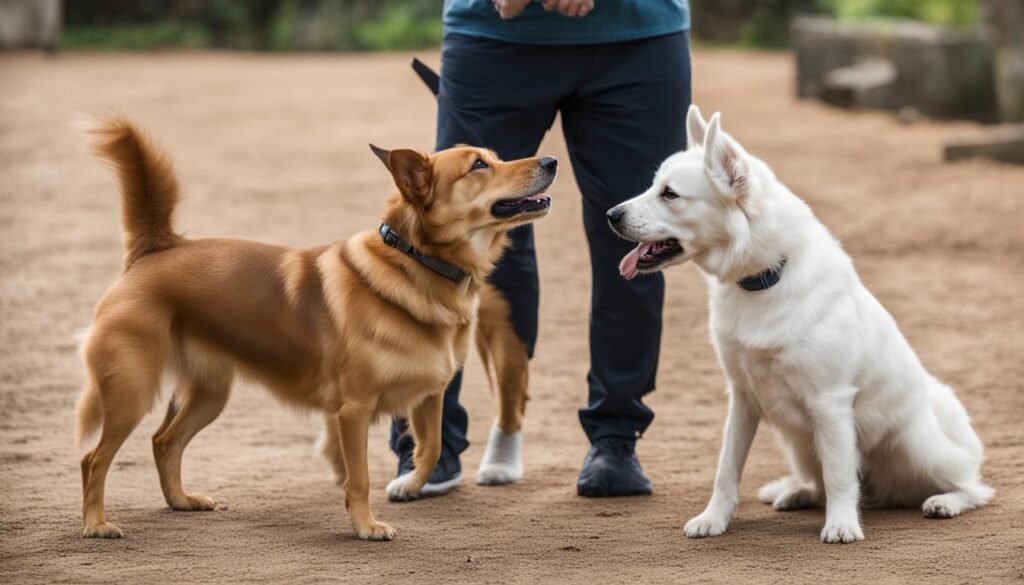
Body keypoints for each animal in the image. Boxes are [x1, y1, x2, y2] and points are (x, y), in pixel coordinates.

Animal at [77, 116, 561, 540]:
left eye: (495, 157)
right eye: (478, 166)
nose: (552, 160)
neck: (417, 264)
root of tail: (158, 247)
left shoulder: (429, 395)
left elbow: (430, 451)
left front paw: (406, 487)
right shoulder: (354, 410)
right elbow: (360, 476)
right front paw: (366, 526)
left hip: (209, 396)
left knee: (164, 442)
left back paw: (180, 500)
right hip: (132, 393)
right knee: (93, 459)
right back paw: (96, 524)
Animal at [606, 105, 991, 545]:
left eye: (670, 194)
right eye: (655, 186)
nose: (610, 215)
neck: (765, 278)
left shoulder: (831, 403)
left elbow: (840, 476)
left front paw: (841, 525)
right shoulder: (742, 398)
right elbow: (726, 470)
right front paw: (714, 519)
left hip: (915, 443)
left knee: (973, 486)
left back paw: (945, 501)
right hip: (800, 441)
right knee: (820, 482)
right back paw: (796, 491)